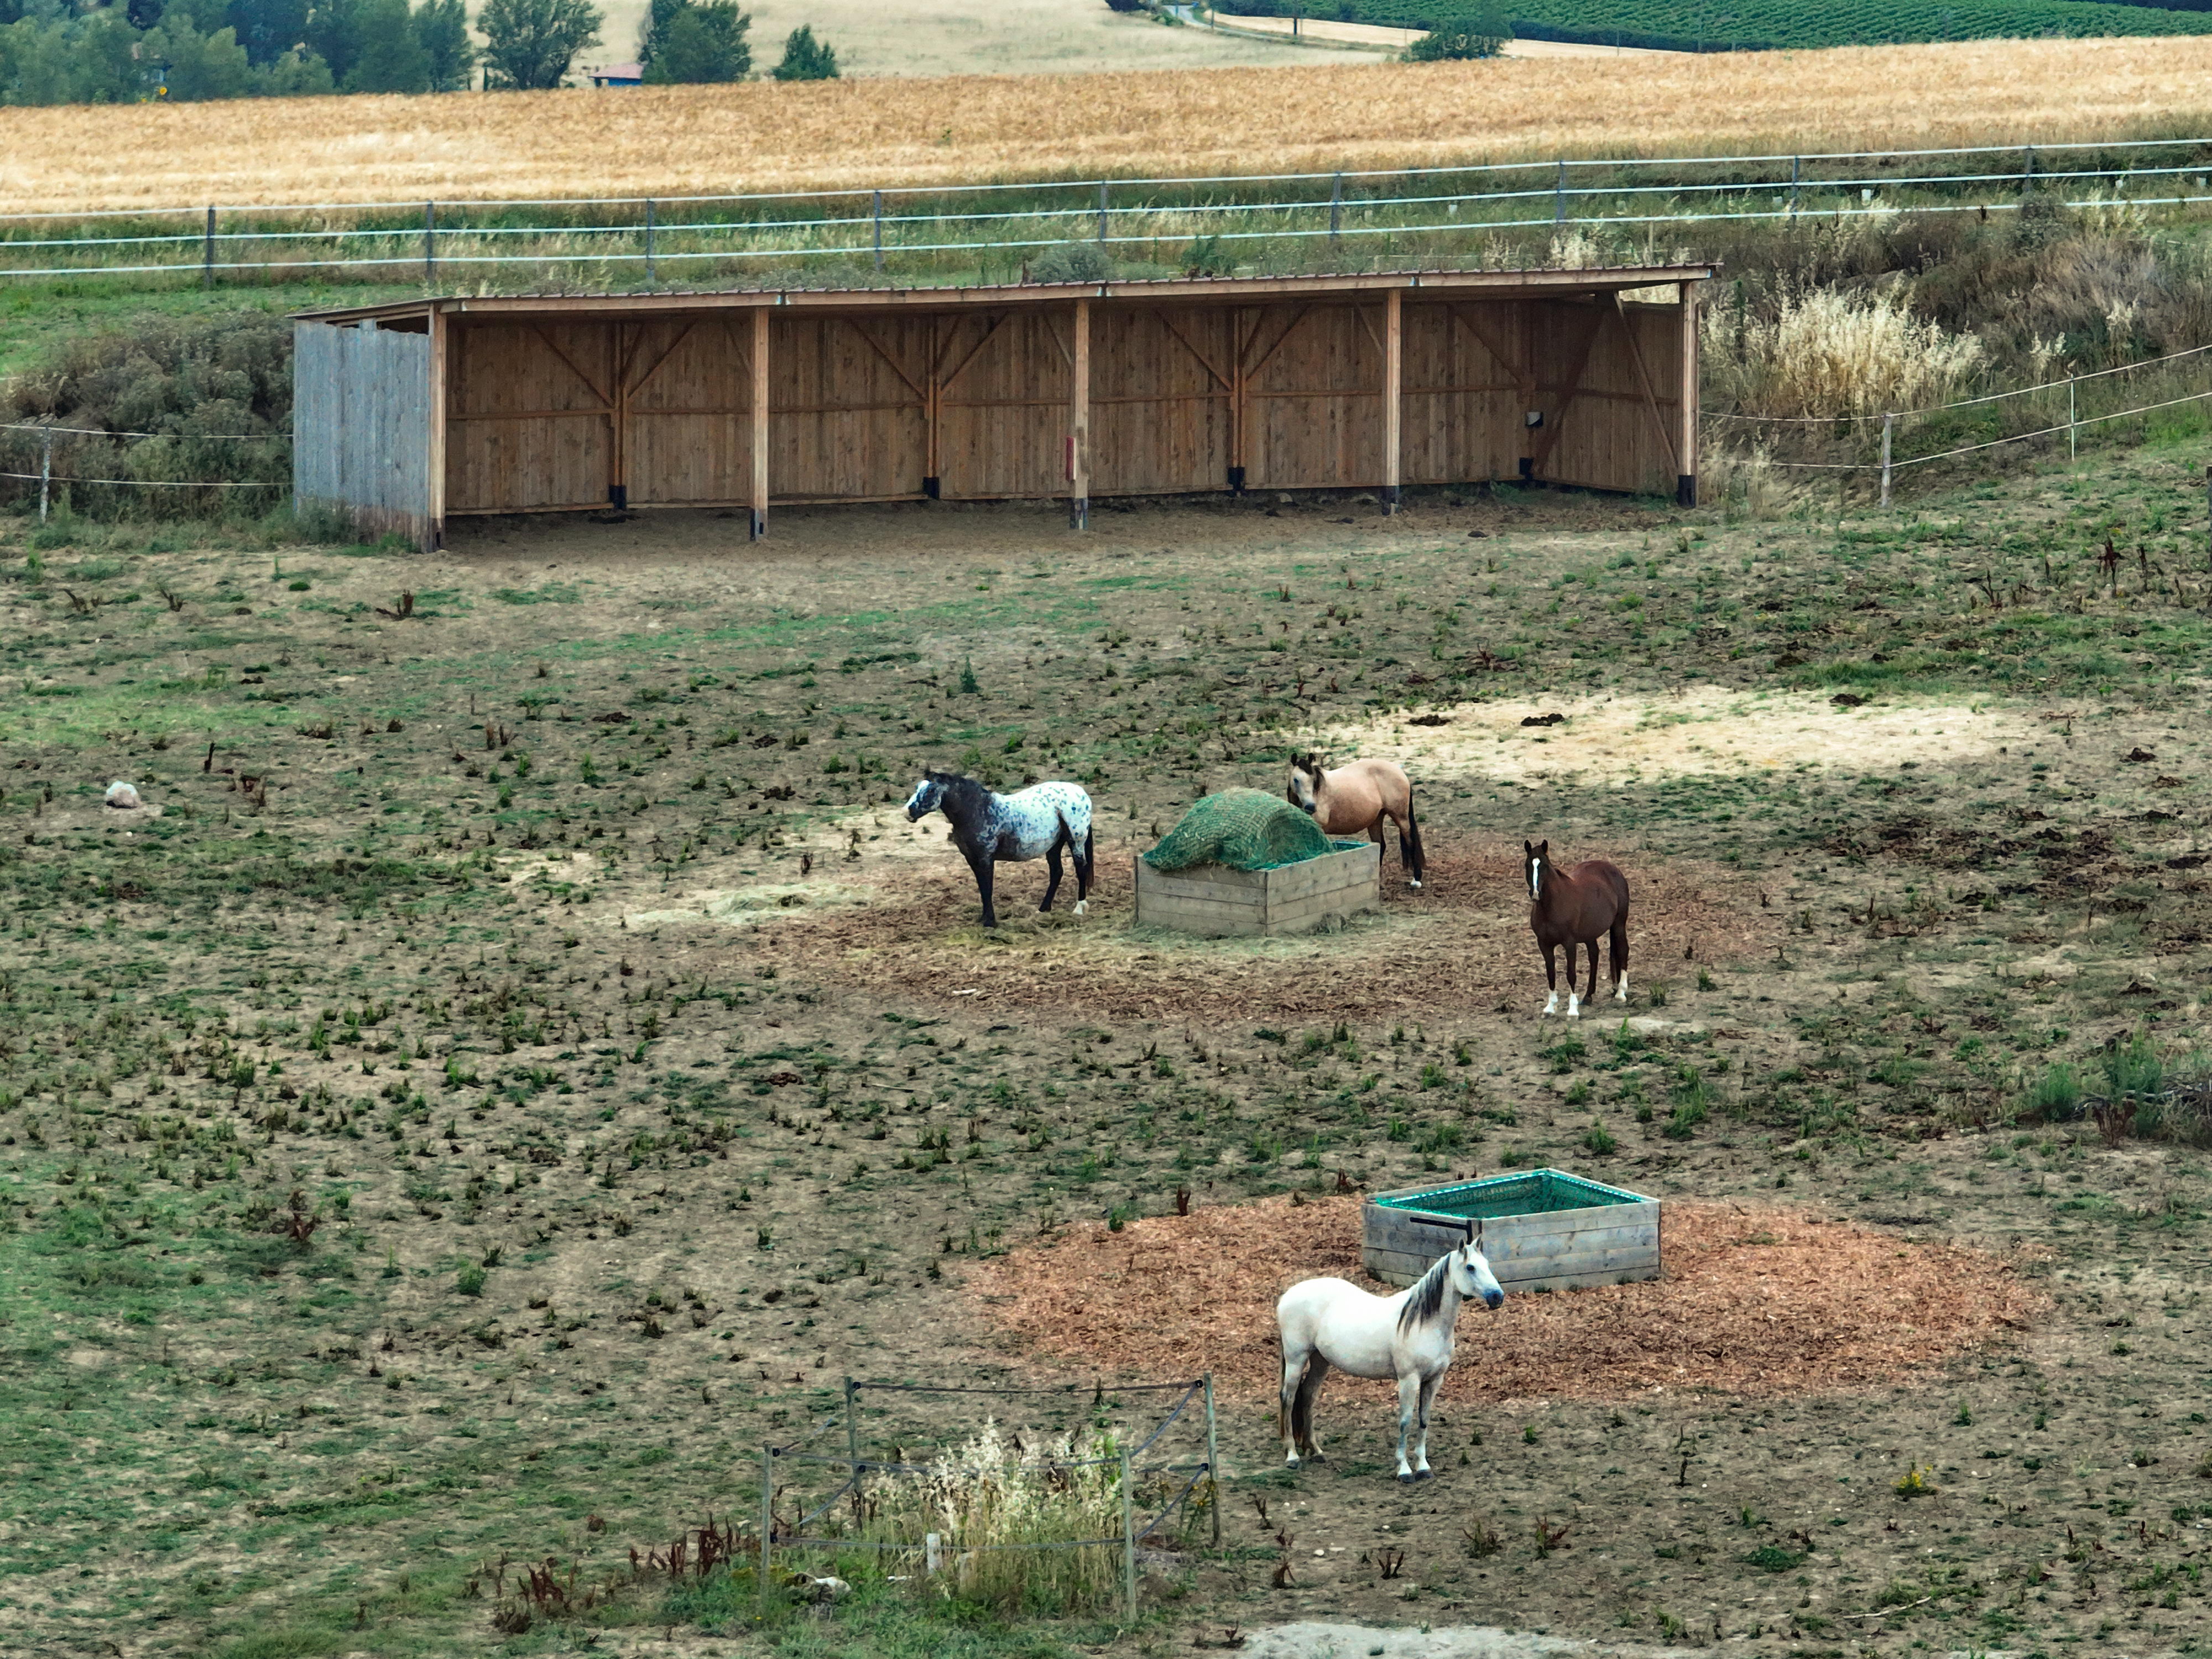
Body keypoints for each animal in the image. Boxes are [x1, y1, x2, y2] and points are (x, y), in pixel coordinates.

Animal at [902, 774, 1093, 929]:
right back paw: (1043, 909)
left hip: (1076, 840)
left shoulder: (986, 859)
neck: (978, 811)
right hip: (1054, 846)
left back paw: (1079, 908)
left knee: (1080, 868)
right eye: (918, 786)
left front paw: (990, 922)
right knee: (1057, 872)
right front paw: (984, 918)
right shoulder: (972, 859)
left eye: (931, 790)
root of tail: (1081, 793)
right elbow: (982, 888)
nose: (907, 812)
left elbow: (988, 888)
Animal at [1283, 1239, 1504, 1486]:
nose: (1498, 1297)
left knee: (1308, 1395)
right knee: (1288, 1399)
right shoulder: (1409, 1380)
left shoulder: (1434, 1380)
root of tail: (1288, 1295)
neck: (1424, 1323)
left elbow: (1424, 1420)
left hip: (1320, 1360)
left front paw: (1424, 1467)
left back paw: (1316, 1451)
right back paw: (1292, 1456)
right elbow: (1405, 1422)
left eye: (1487, 1264)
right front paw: (1404, 1470)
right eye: (1470, 1268)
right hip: (1296, 1359)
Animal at [1292, 752, 1425, 889]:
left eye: (1313, 780)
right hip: (1376, 820)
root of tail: (1400, 772)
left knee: (1411, 842)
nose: (1310, 807)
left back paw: (1416, 880)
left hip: (1400, 817)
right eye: (1296, 780)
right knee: (1381, 845)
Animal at [1522, 836, 1628, 1022]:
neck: (1552, 905)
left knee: (1622, 950)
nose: (1535, 894)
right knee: (1594, 956)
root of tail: (1614, 870)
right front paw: (1550, 1008)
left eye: (1545, 865)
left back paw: (1621, 993)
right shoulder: (1544, 945)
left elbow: (1571, 974)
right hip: (1590, 933)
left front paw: (1572, 1010)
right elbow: (1551, 974)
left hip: (1619, 924)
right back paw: (1588, 996)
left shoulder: (1569, 943)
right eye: (1527, 865)